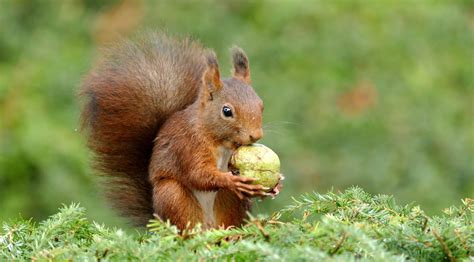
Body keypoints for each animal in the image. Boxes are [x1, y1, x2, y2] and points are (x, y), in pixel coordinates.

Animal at [80, 33, 282, 229]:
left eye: (261, 105)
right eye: (227, 111)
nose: (256, 135)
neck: (220, 141)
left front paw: (277, 184)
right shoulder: (188, 146)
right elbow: (198, 174)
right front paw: (231, 181)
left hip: (229, 203)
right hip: (172, 196)